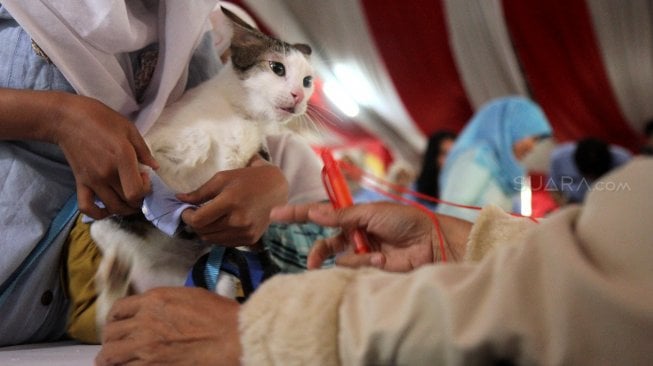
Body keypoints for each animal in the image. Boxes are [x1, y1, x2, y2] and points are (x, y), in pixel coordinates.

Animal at [90, 7, 316, 336]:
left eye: (308, 80)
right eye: (277, 68)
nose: (299, 95)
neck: (242, 115)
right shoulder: (154, 142)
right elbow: (152, 160)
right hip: (117, 230)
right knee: (106, 241)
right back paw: (114, 275)